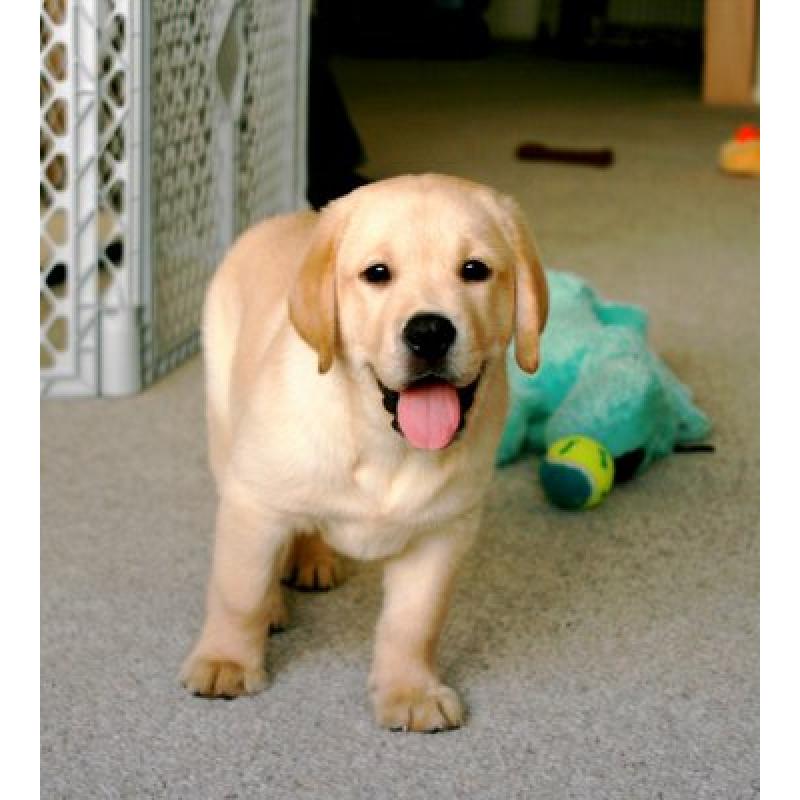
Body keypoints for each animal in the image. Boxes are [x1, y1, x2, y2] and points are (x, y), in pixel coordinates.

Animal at [179, 173, 548, 732]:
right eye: (377, 274)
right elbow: (238, 588)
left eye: (474, 271)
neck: (385, 443)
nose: (429, 331)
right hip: (225, 429)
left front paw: (410, 691)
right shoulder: (254, 500)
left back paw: (314, 560)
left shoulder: (441, 532)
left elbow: (414, 622)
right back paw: (273, 605)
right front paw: (227, 661)